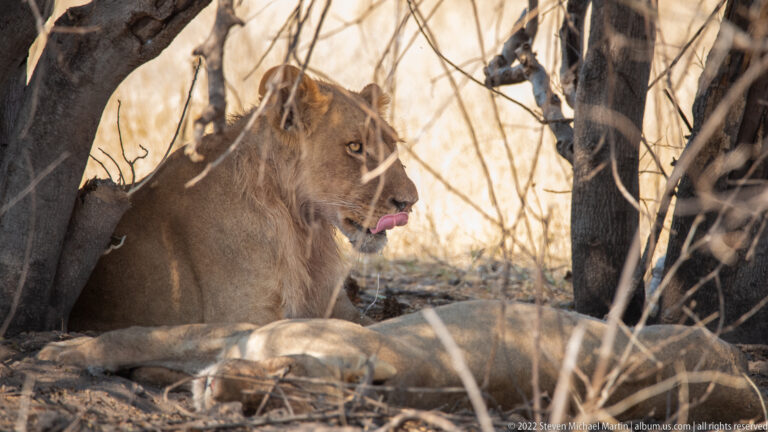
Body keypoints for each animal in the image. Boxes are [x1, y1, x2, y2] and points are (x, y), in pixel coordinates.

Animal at [68, 65, 418, 331]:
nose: (410, 202)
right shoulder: (245, 317)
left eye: (392, 144)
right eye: (355, 147)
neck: (301, 226)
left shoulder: (338, 306)